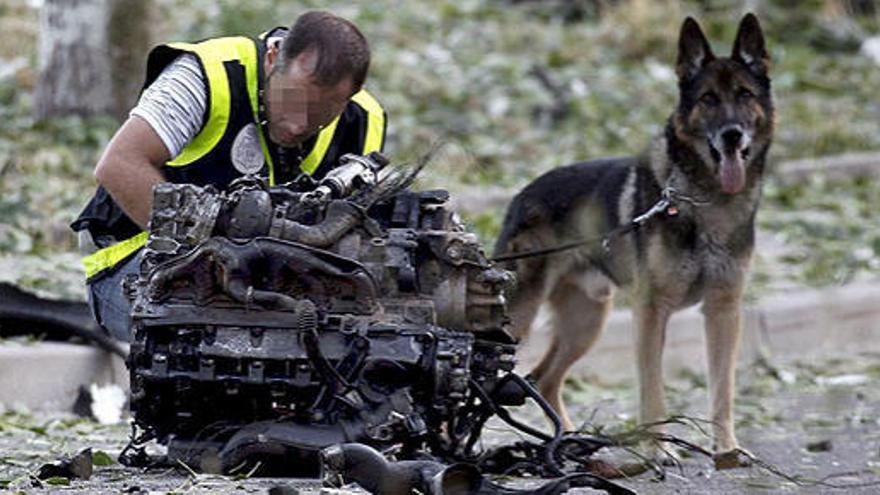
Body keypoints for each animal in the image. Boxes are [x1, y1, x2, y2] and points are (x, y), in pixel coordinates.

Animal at [496, 12, 768, 462]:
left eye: (745, 94)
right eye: (709, 99)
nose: (732, 135)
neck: (704, 199)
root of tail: (521, 196)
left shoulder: (724, 310)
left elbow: (723, 387)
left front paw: (727, 449)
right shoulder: (651, 311)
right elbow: (652, 389)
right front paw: (658, 451)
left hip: (587, 322)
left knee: (543, 379)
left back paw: (569, 444)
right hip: (521, 317)